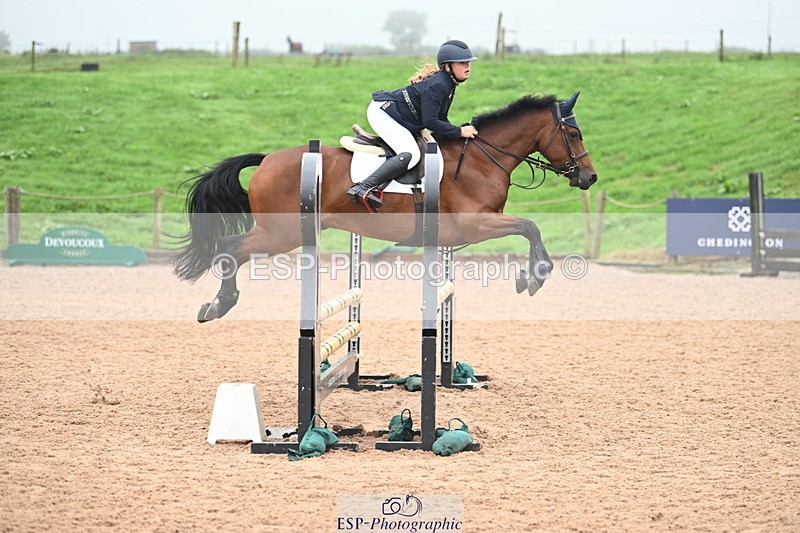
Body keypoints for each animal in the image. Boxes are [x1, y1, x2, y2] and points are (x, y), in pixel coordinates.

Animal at [174, 92, 598, 322]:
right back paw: (219, 304)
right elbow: (530, 227)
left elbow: (528, 229)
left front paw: (531, 276)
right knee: (232, 249)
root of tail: (265, 161)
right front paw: (535, 277)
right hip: (282, 233)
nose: (590, 177)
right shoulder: (476, 223)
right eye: (575, 133)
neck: (482, 156)